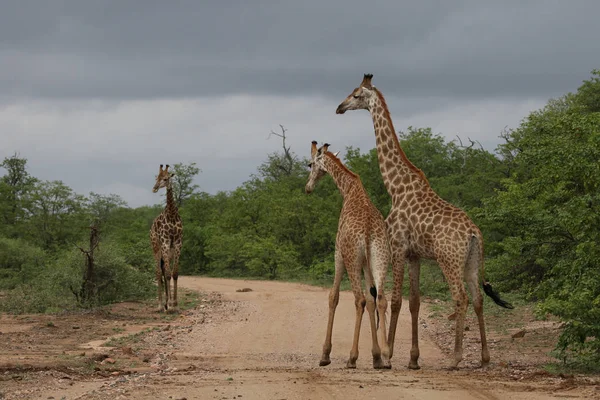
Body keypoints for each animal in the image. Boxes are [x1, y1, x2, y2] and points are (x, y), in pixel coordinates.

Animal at [304, 141, 394, 368]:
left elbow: (333, 296)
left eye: (310, 164)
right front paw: (376, 356)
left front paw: (325, 355)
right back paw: (386, 357)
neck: (349, 189)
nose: (308, 187)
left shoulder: (338, 253)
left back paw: (352, 358)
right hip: (380, 258)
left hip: (352, 259)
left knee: (359, 299)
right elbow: (372, 301)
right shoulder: (366, 263)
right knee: (380, 299)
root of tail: (369, 230)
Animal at [336, 74, 512, 368]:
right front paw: (413, 359)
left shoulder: (397, 247)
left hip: (448, 260)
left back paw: (455, 359)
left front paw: (389, 353)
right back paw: (485, 358)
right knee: (478, 299)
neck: (396, 187)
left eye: (357, 95)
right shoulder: (415, 254)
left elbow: (396, 300)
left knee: (460, 298)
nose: (339, 107)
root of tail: (474, 233)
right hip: (472, 261)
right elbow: (414, 302)